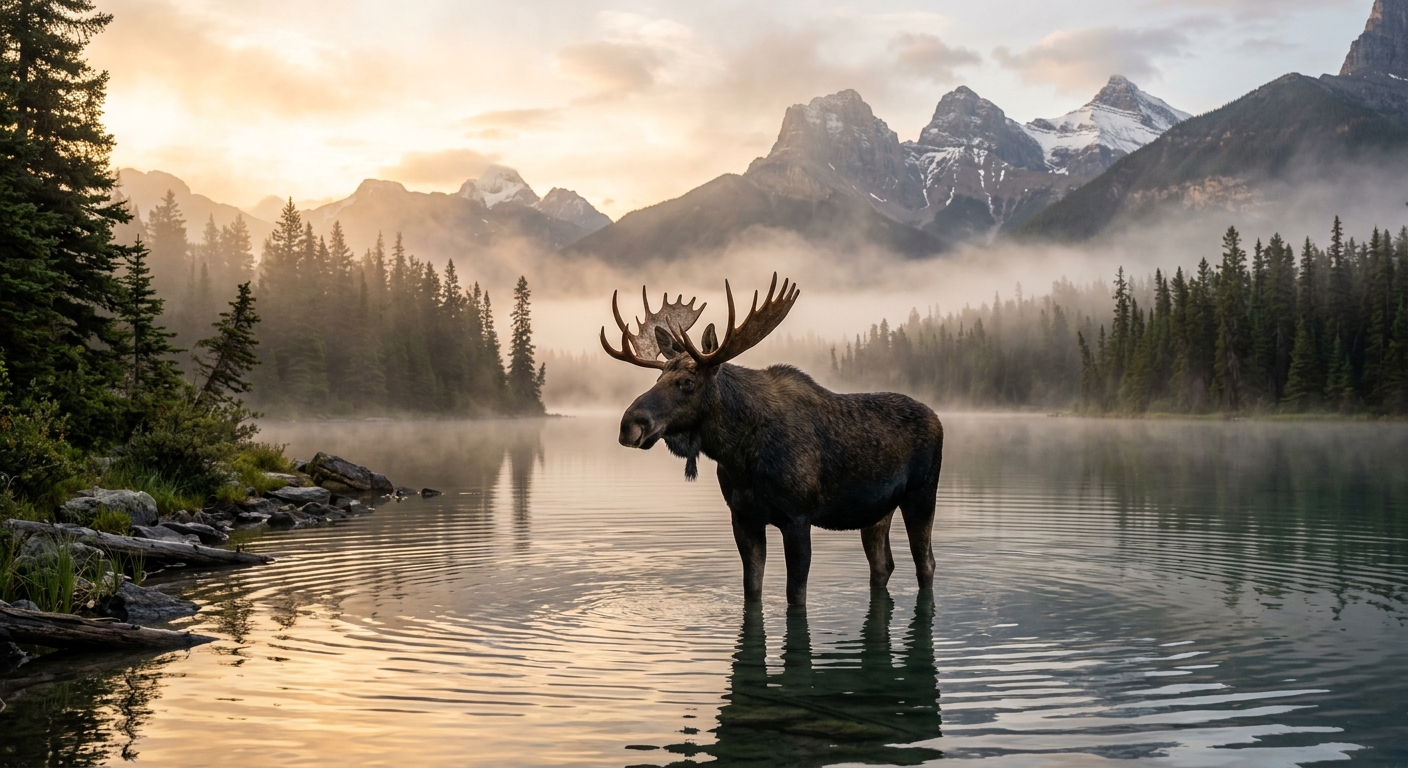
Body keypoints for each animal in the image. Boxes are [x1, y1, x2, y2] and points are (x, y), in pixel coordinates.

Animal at [602, 274, 943, 606]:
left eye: (687, 381)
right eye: (658, 378)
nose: (629, 425)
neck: (737, 453)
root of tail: (937, 418)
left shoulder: (798, 518)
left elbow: (796, 596)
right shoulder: (743, 517)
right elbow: (752, 589)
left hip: (921, 495)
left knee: (926, 562)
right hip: (876, 511)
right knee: (882, 564)